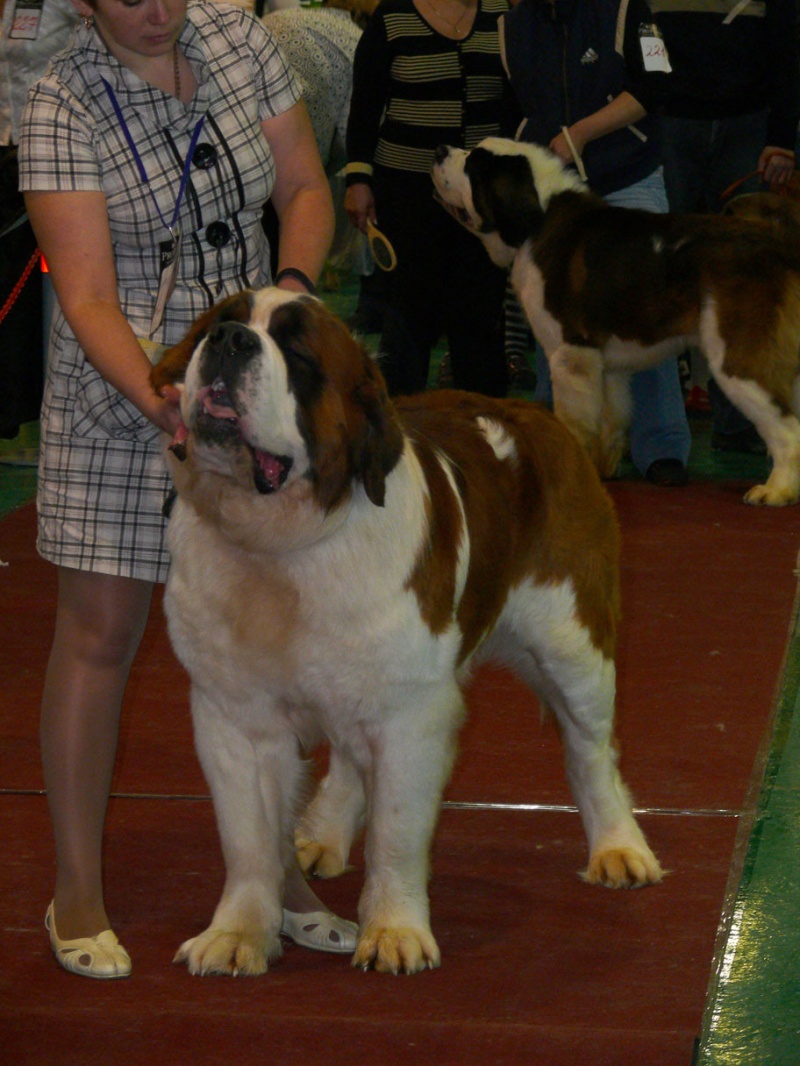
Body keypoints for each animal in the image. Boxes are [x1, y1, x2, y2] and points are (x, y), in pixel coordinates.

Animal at [150, 288, 662, 977]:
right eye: (218, 323)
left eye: (298, 354)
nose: (230, 341)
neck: (282, 547)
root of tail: (535, 416)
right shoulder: (235, 715)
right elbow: (249, 838)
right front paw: (237, 934)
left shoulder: (410, 716)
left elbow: (396, 832)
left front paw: (394, 930)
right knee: (347, 757)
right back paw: (323, 833)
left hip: (573, 646)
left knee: (591, 750)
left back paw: (618, 846)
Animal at [431, 137, 800, 506]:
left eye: (472, 164)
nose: (438, 151)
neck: (538, 221)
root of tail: (780, 245)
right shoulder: (606, 366)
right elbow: (610, 419)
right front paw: (603, 472)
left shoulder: (571, 354)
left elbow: (573, 421)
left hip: (736, 358)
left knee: (787, 428)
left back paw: (775, 490)